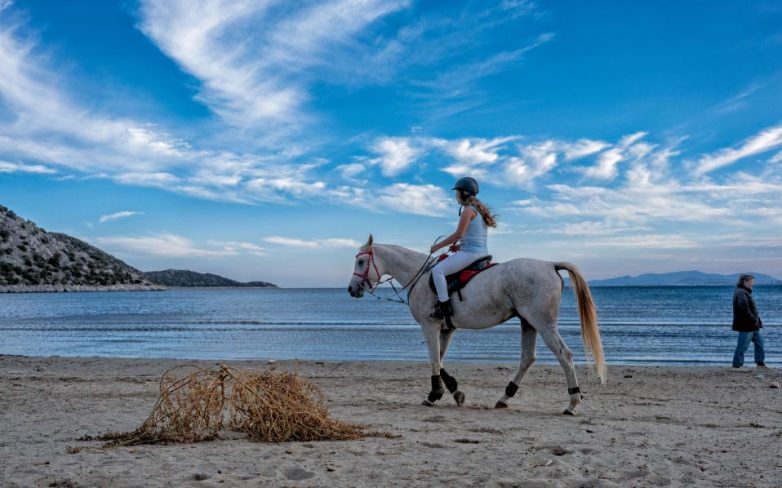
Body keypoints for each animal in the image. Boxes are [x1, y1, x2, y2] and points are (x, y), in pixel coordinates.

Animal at [346, 234, 608, 414]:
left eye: (361, 262)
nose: (351, 289)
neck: (420, 276)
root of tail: (550, 264)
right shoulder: (447, 328)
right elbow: (440, 359)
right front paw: (455, 392)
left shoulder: (430, 326)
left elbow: (434, 360)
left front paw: (434, 394)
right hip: (528, 322)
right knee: (527, 358)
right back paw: (505, 397)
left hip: (542, 323)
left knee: (564, 355)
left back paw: (572, 403)